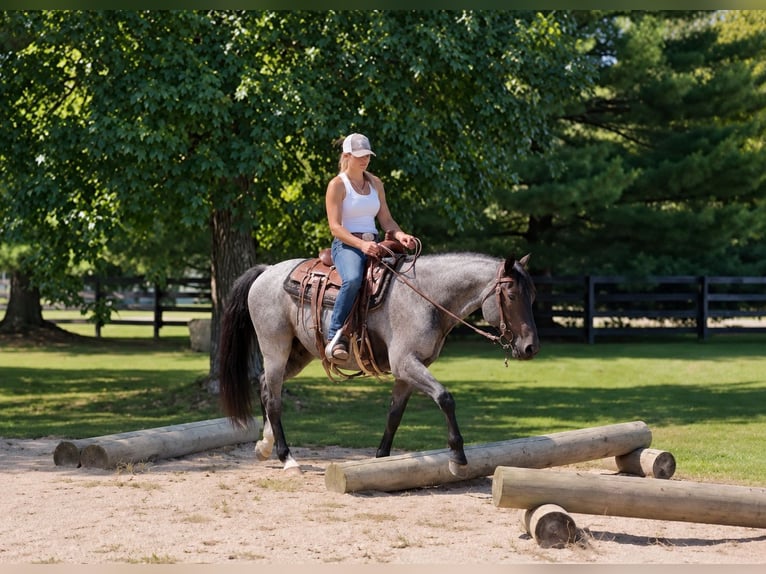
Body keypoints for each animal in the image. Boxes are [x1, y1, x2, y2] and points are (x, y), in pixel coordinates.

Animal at [218, 251, 539, 476]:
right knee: (273, 400)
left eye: (533, 295)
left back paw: (264, 445)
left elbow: (394, 416)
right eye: (511, 294)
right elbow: (445, 398)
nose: (531, 347)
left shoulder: (408, 372)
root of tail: (268, 271)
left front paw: (380, 461)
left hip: (298, 354)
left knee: (264, 386)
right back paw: (287, 458)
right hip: (275, 349)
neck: (425, 297)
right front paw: (457, 457)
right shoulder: (406, 363)